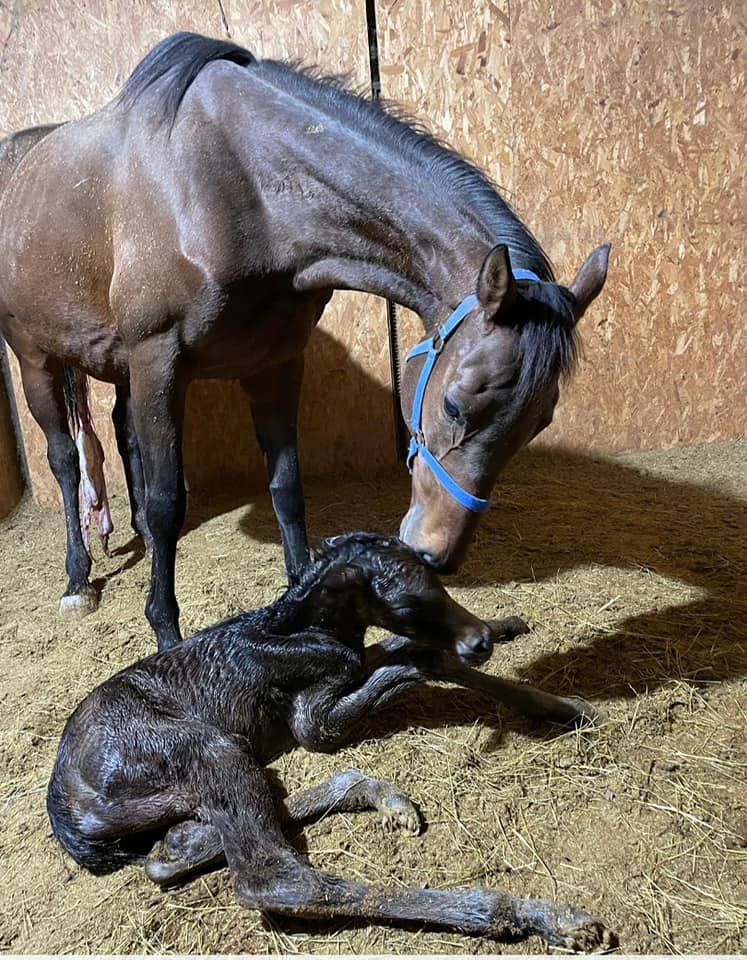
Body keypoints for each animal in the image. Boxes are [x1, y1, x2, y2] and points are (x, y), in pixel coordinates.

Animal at [46, 536, 612, 948]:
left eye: (440, 581)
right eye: (408, 601)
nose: (480, 641)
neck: (303, 629)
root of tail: (64, 806)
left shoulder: (349, 665)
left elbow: (391, 652)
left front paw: (540, 670)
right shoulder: (311, 721)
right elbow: (415, 659)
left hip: (211, 764)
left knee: (175, 852)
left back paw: (372, 795)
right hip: (202, 746)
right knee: (273, 878)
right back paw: (538, 914)